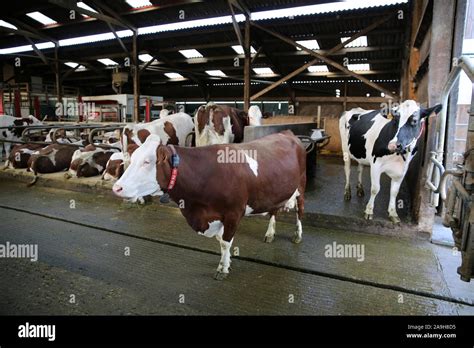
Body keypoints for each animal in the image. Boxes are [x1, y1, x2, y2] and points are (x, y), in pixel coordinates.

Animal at [115, 130, 308, 280]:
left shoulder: (233, 213)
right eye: (132, 159)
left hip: (301, 186)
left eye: (147, 162)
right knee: (274, 210)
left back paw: (298, 235)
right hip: (277, 191)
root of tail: (288, 133)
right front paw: (227, 263)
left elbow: (225, 243)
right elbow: (220, 241)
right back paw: (270, 233)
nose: (117, 188)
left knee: (300, 211)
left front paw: (222, 269)